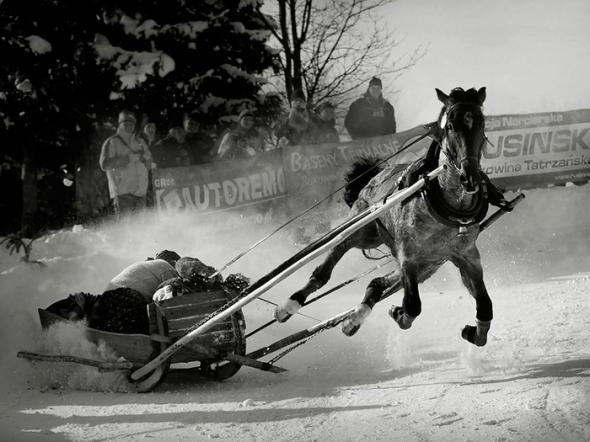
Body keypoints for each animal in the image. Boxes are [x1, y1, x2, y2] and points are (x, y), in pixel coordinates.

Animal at [276, 86, 500, 347]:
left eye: (482, 123)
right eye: (451, 125)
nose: (469, 177)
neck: (448, 205)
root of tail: (373, 175)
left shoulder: (466, 257)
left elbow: (485, 306)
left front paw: (474, 332)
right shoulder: (408, 255)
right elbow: (413, 305)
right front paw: (399, 312)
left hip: (416, 259)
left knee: (375, 283)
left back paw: (354, 319)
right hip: (359, 233)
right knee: (324, 269)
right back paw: (289, 305)